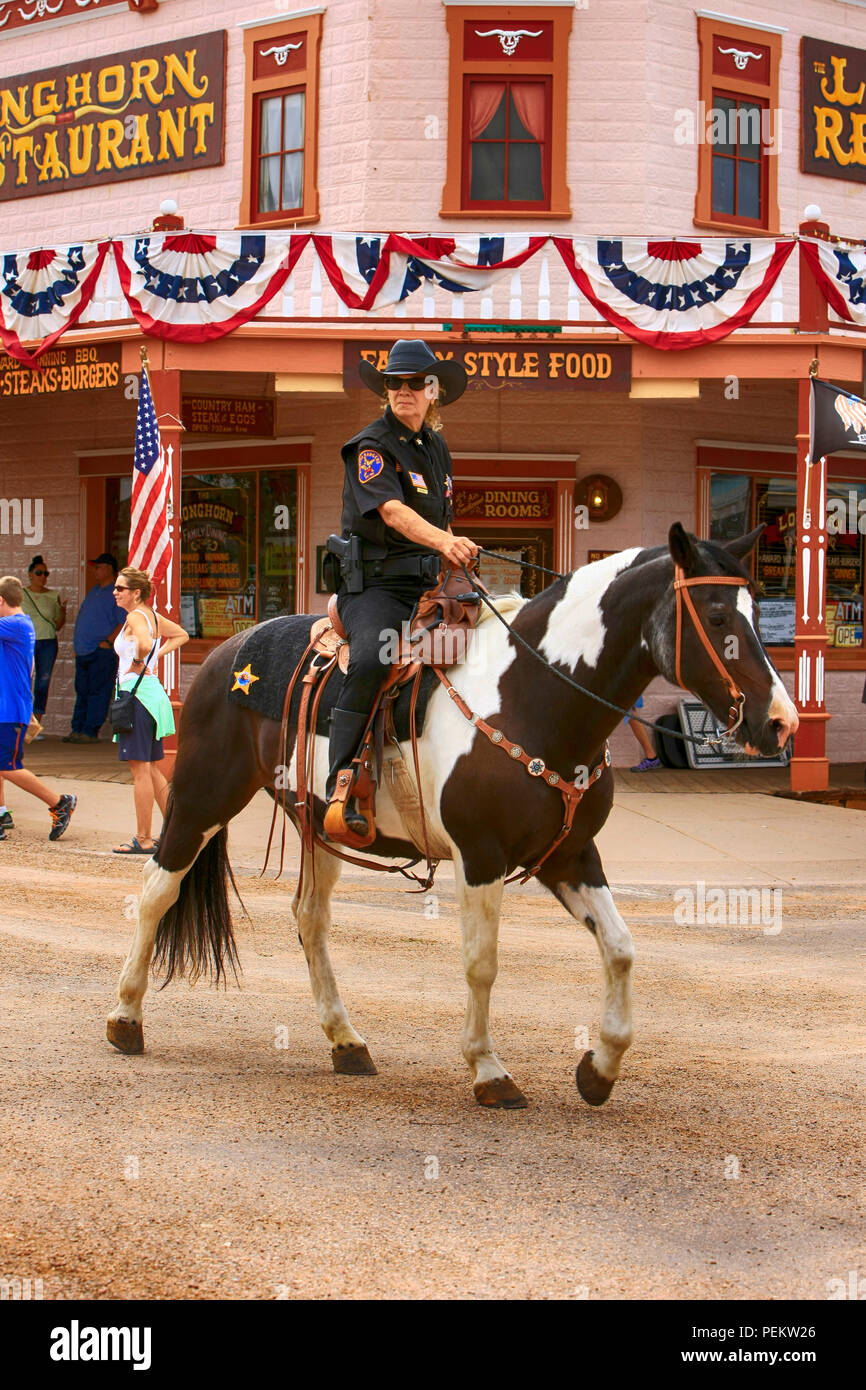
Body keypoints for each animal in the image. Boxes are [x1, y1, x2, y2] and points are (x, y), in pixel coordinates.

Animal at [107, 525, 800, 1112]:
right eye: (717, 616)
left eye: (755, 613)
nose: (780, 724)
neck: (532, 694)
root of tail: (229, 650)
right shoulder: (481, 855)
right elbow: (481, 963)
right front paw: (489, 1070)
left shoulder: (570, 855)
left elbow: (622, 949)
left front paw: (599, 1068)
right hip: (203, 797)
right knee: (156, 890)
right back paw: (125, 1020)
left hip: (315, 824)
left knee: (310, 919)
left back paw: (346, 1041)